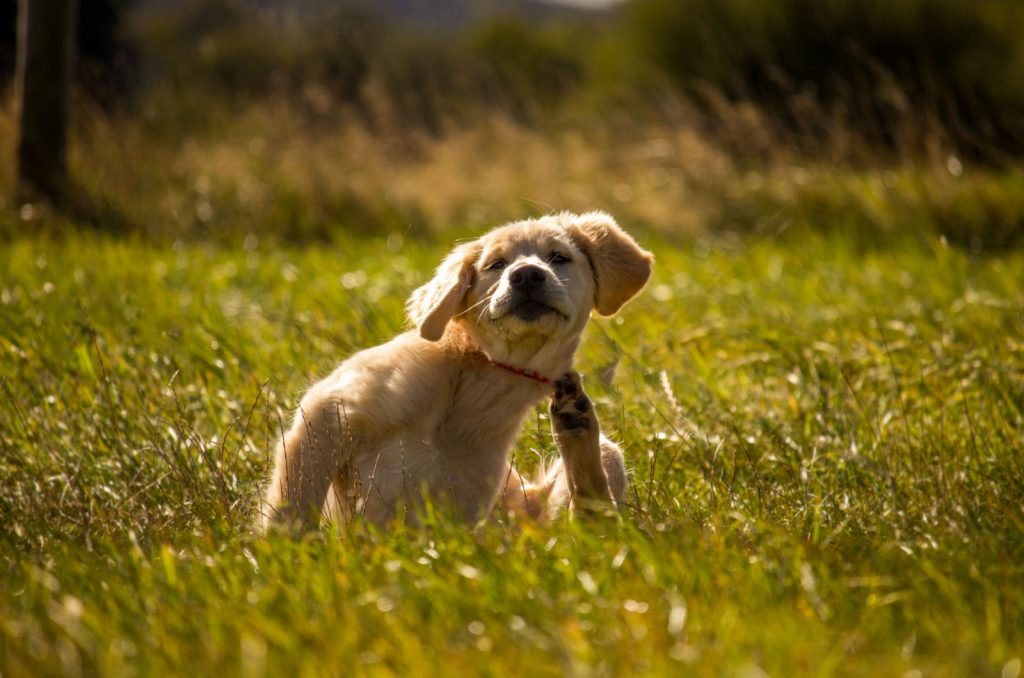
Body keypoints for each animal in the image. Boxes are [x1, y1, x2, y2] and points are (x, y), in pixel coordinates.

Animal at [260, 210, 651, 532]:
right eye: (496, 264)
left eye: (559, 257)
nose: (526, 275)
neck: (479, 381)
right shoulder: (329, 412)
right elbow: (293, 504)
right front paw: (283, 555)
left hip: (585, 472)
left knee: (591, 520)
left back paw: (575, 421)